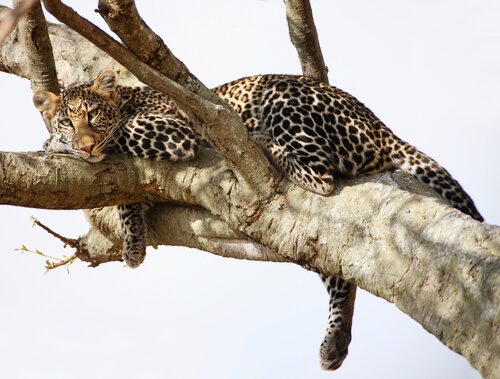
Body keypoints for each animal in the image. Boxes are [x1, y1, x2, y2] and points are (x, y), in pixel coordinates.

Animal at [33, 70, 482, 372]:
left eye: (92, 115)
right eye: (68, 118)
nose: (83, 144)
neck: (126, 100)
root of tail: (379, 124)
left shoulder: (173, 130)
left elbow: (122, 136)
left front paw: (56, 145)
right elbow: (126, 199)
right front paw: (133, 242)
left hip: (283, 99)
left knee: (320, 178)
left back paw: (262, 142)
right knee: (335, 269)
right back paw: (335, 342)